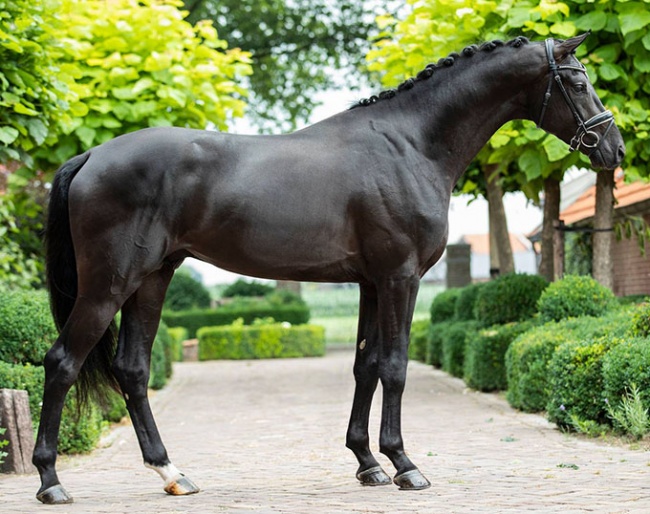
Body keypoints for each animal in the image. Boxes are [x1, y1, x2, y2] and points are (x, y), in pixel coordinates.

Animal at [33, 34, 620, 502]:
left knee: (132, 369)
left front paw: (367, 464)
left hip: (153, 278)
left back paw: (172, 473)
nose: (612, 148)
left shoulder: (370, 283)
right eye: (576, 80)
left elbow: (366, 366)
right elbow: (395, 367)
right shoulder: (401, 278)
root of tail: (90, 157)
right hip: (108, 285)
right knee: (62, 362)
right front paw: (404, 465)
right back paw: (50, 481)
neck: (410, 145)